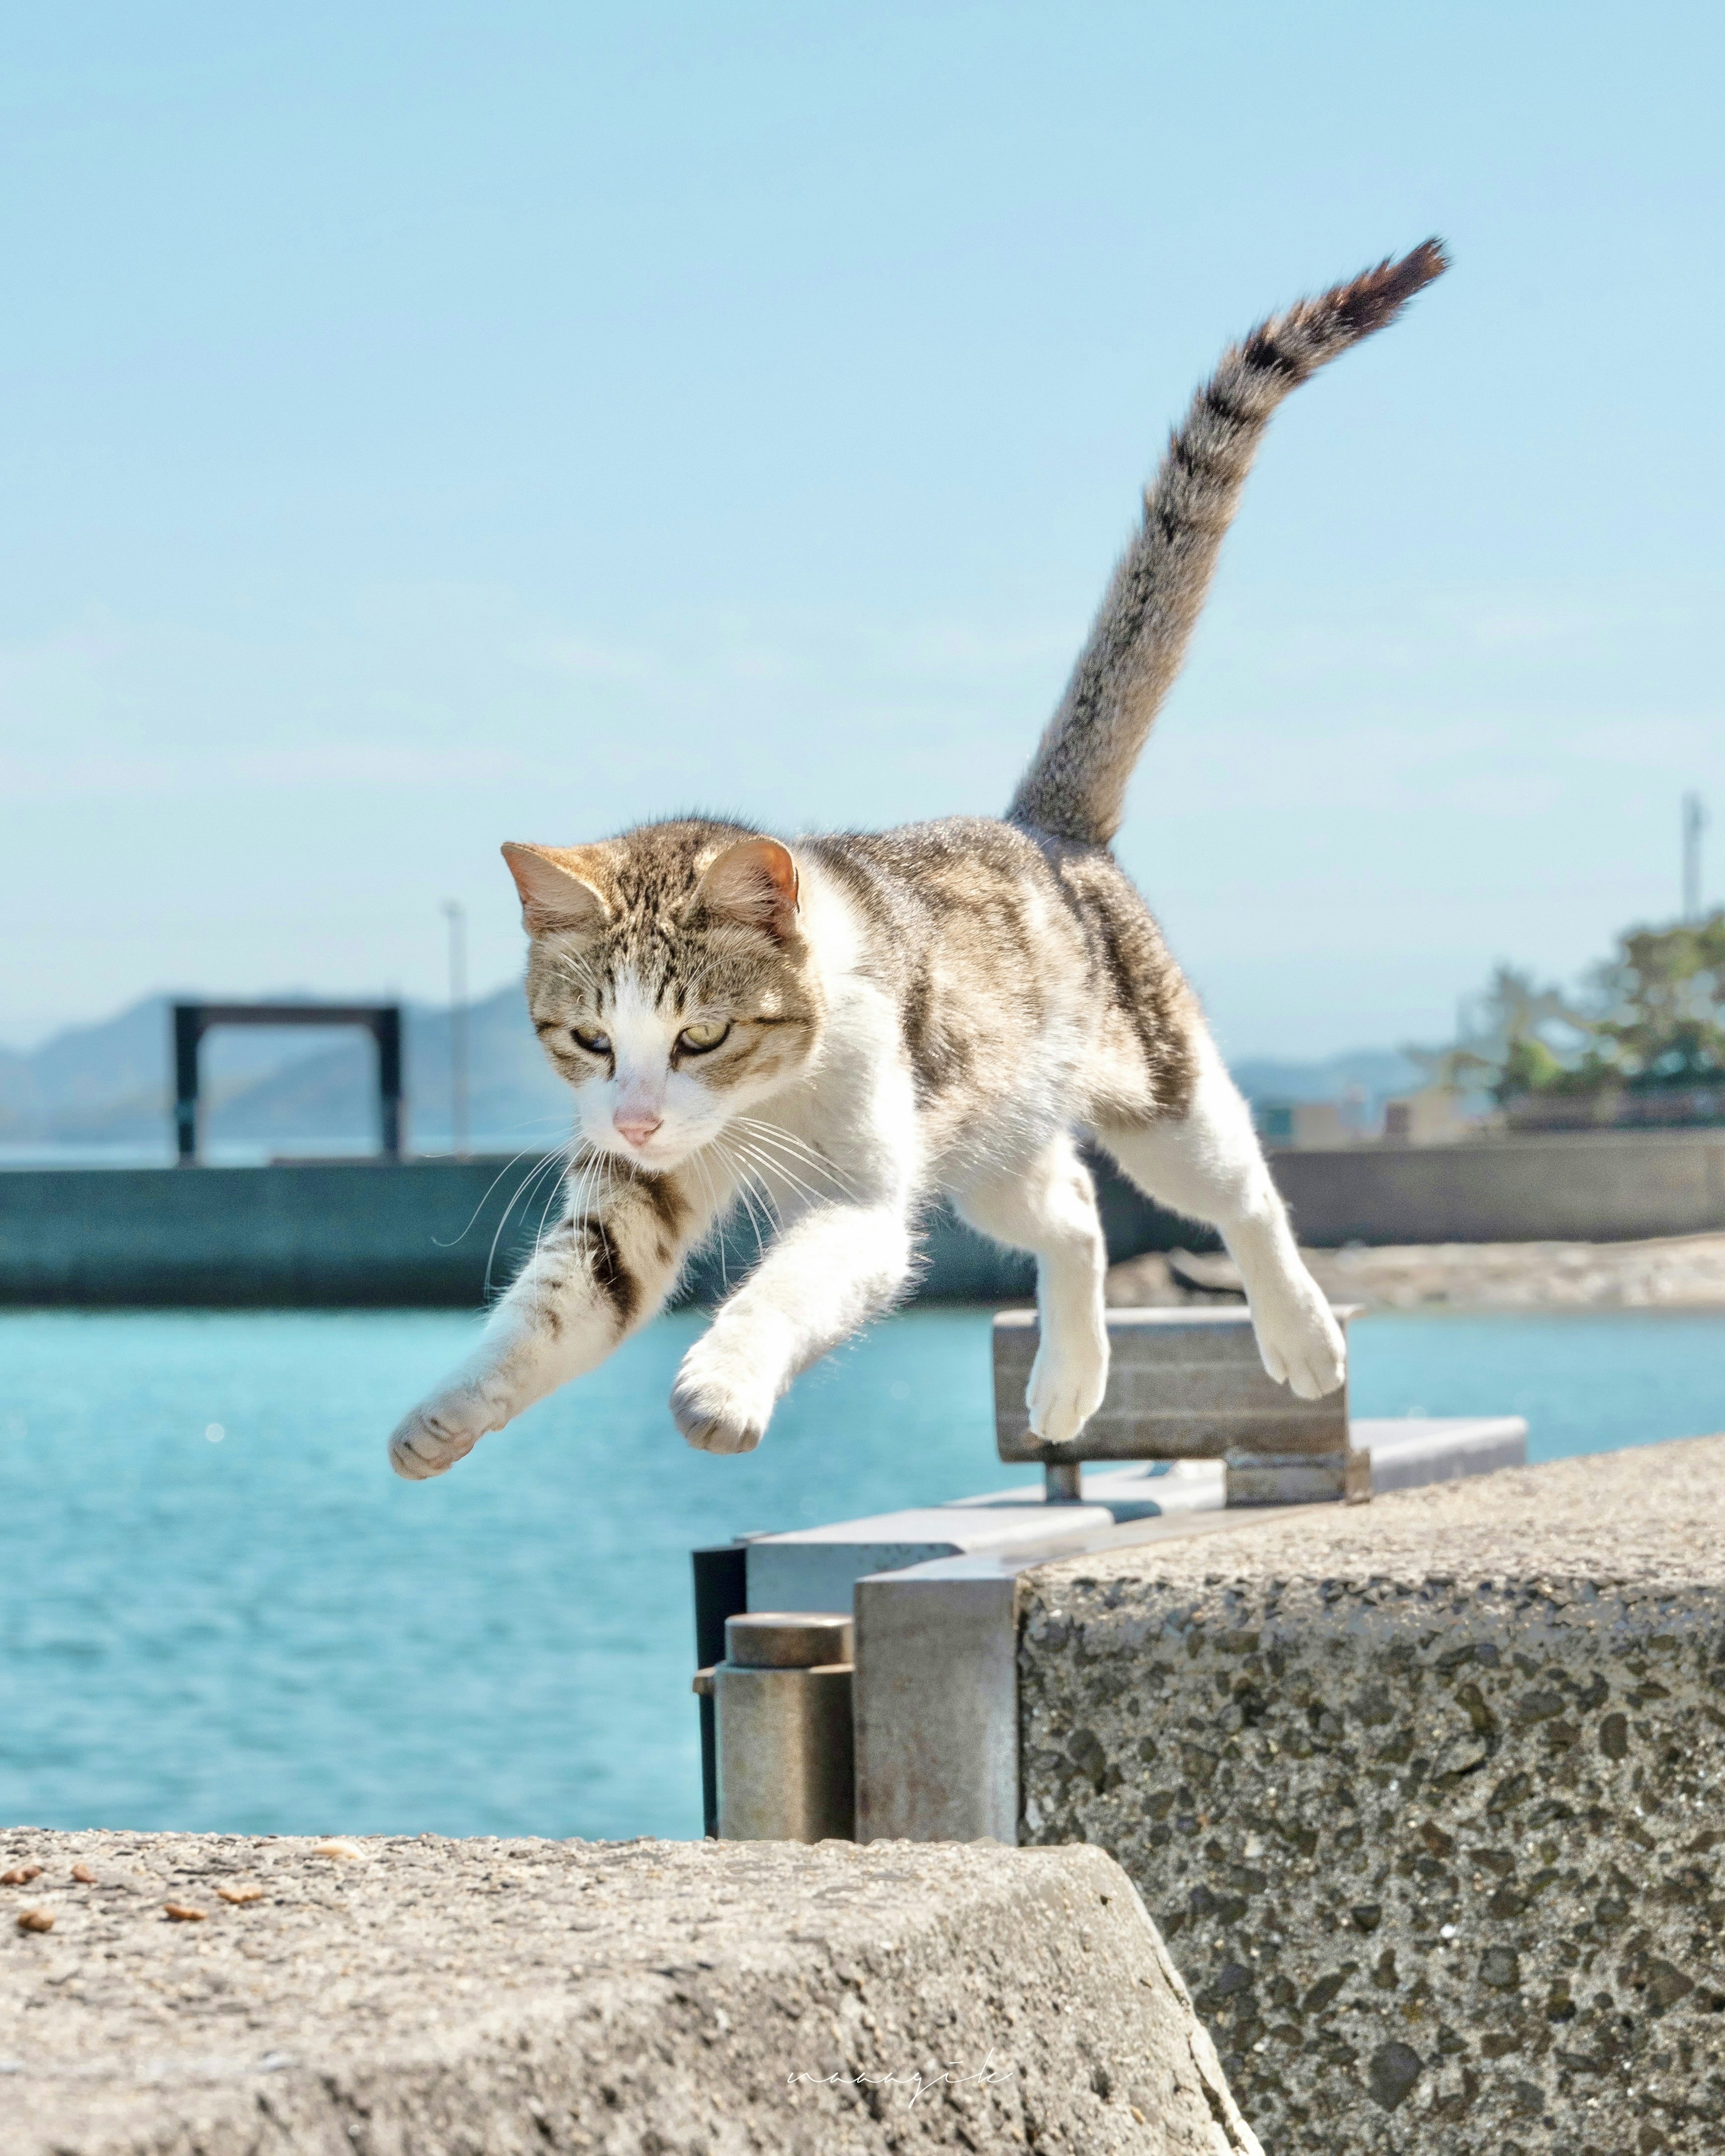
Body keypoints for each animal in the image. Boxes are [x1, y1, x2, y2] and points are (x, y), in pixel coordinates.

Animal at [388, 240, 1440, 1483]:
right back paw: (1067, 1382)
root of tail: (1046, 825)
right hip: (988, 1139)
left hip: (1156, 1087)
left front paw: (719, 1386)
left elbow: (788, 1282)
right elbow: (558, 1301)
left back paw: (1301, 1336)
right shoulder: (634, 1193)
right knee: (1072, 1208)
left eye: (703, 1033)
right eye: (592, 1039)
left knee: (1238, 1186)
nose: (639, 1117)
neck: (759, 1109)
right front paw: (446, 1408)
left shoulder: (863, 1195)